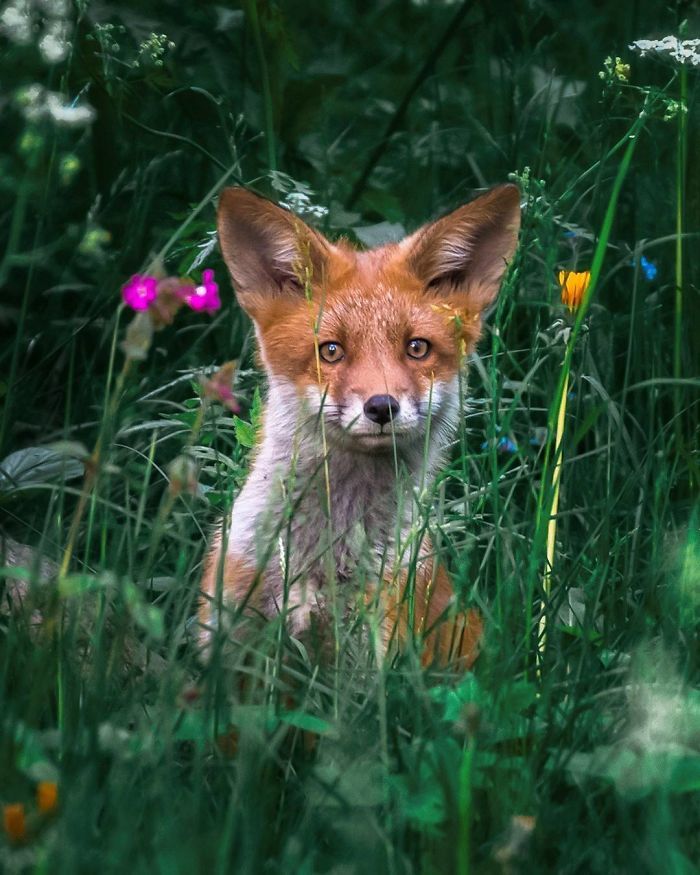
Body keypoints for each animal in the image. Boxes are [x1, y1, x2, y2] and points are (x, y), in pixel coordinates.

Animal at [197, 181, 520, 668]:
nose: (382, 406)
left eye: (417, 348)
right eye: (331, 350)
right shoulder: (227, 642)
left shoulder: (365, 660)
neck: (323, 559)